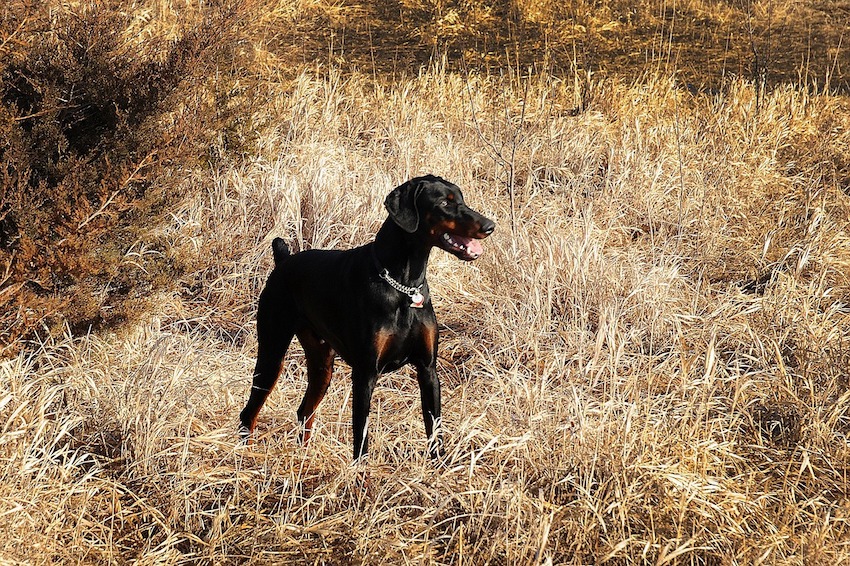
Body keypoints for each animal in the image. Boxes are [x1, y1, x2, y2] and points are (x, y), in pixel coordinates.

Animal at [238, 176, 494, 462]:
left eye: (461, 199)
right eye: (444, 203)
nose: (490, 226)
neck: (404, 286)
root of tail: (284, 261)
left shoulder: (428, 369)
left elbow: (434, 427)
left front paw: (438, 465)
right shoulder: (365, 372)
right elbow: (361, 433)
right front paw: (361, 470)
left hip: (322, 364)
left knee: (305, 410)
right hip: (272, 353)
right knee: (249, 412)